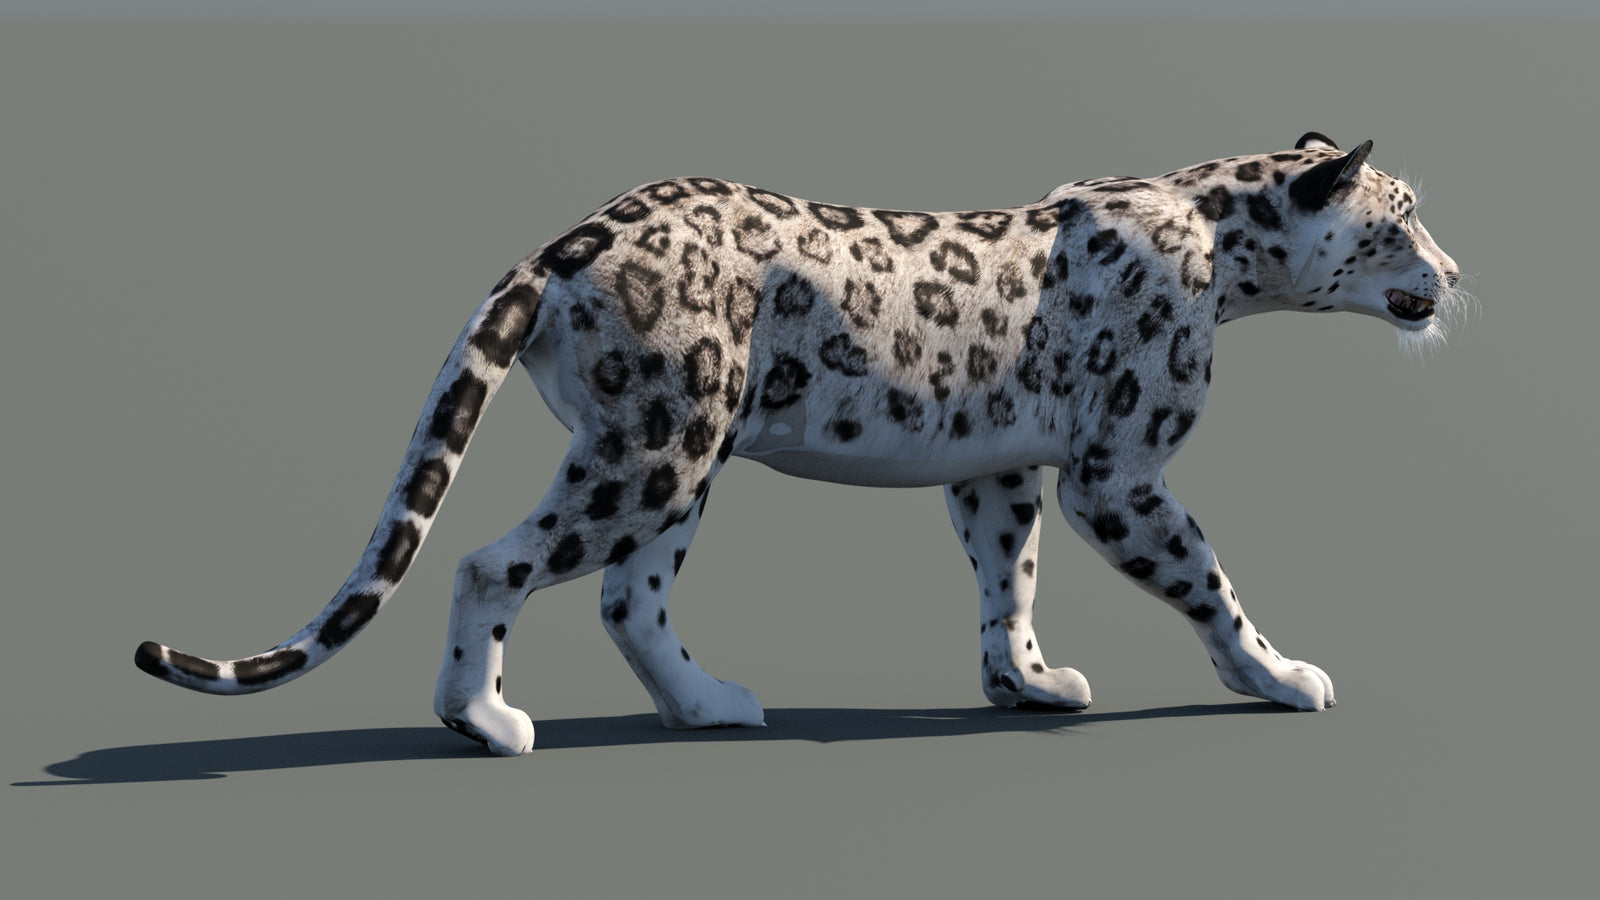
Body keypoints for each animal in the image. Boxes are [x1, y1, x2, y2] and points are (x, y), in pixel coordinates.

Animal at [136, 133, 1467, 756]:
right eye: (1400, 221)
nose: (1452, 275)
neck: (1226, 255)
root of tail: (576, 234)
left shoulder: (1000, 468)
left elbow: (1009, 577)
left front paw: (1025, 684)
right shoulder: (1120, 472)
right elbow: (1207, 579)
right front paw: (1278, 675)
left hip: (674, 456)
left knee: (629, 597)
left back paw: (712, 705)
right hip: (654, 453)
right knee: (492, 562)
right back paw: (485, 721)